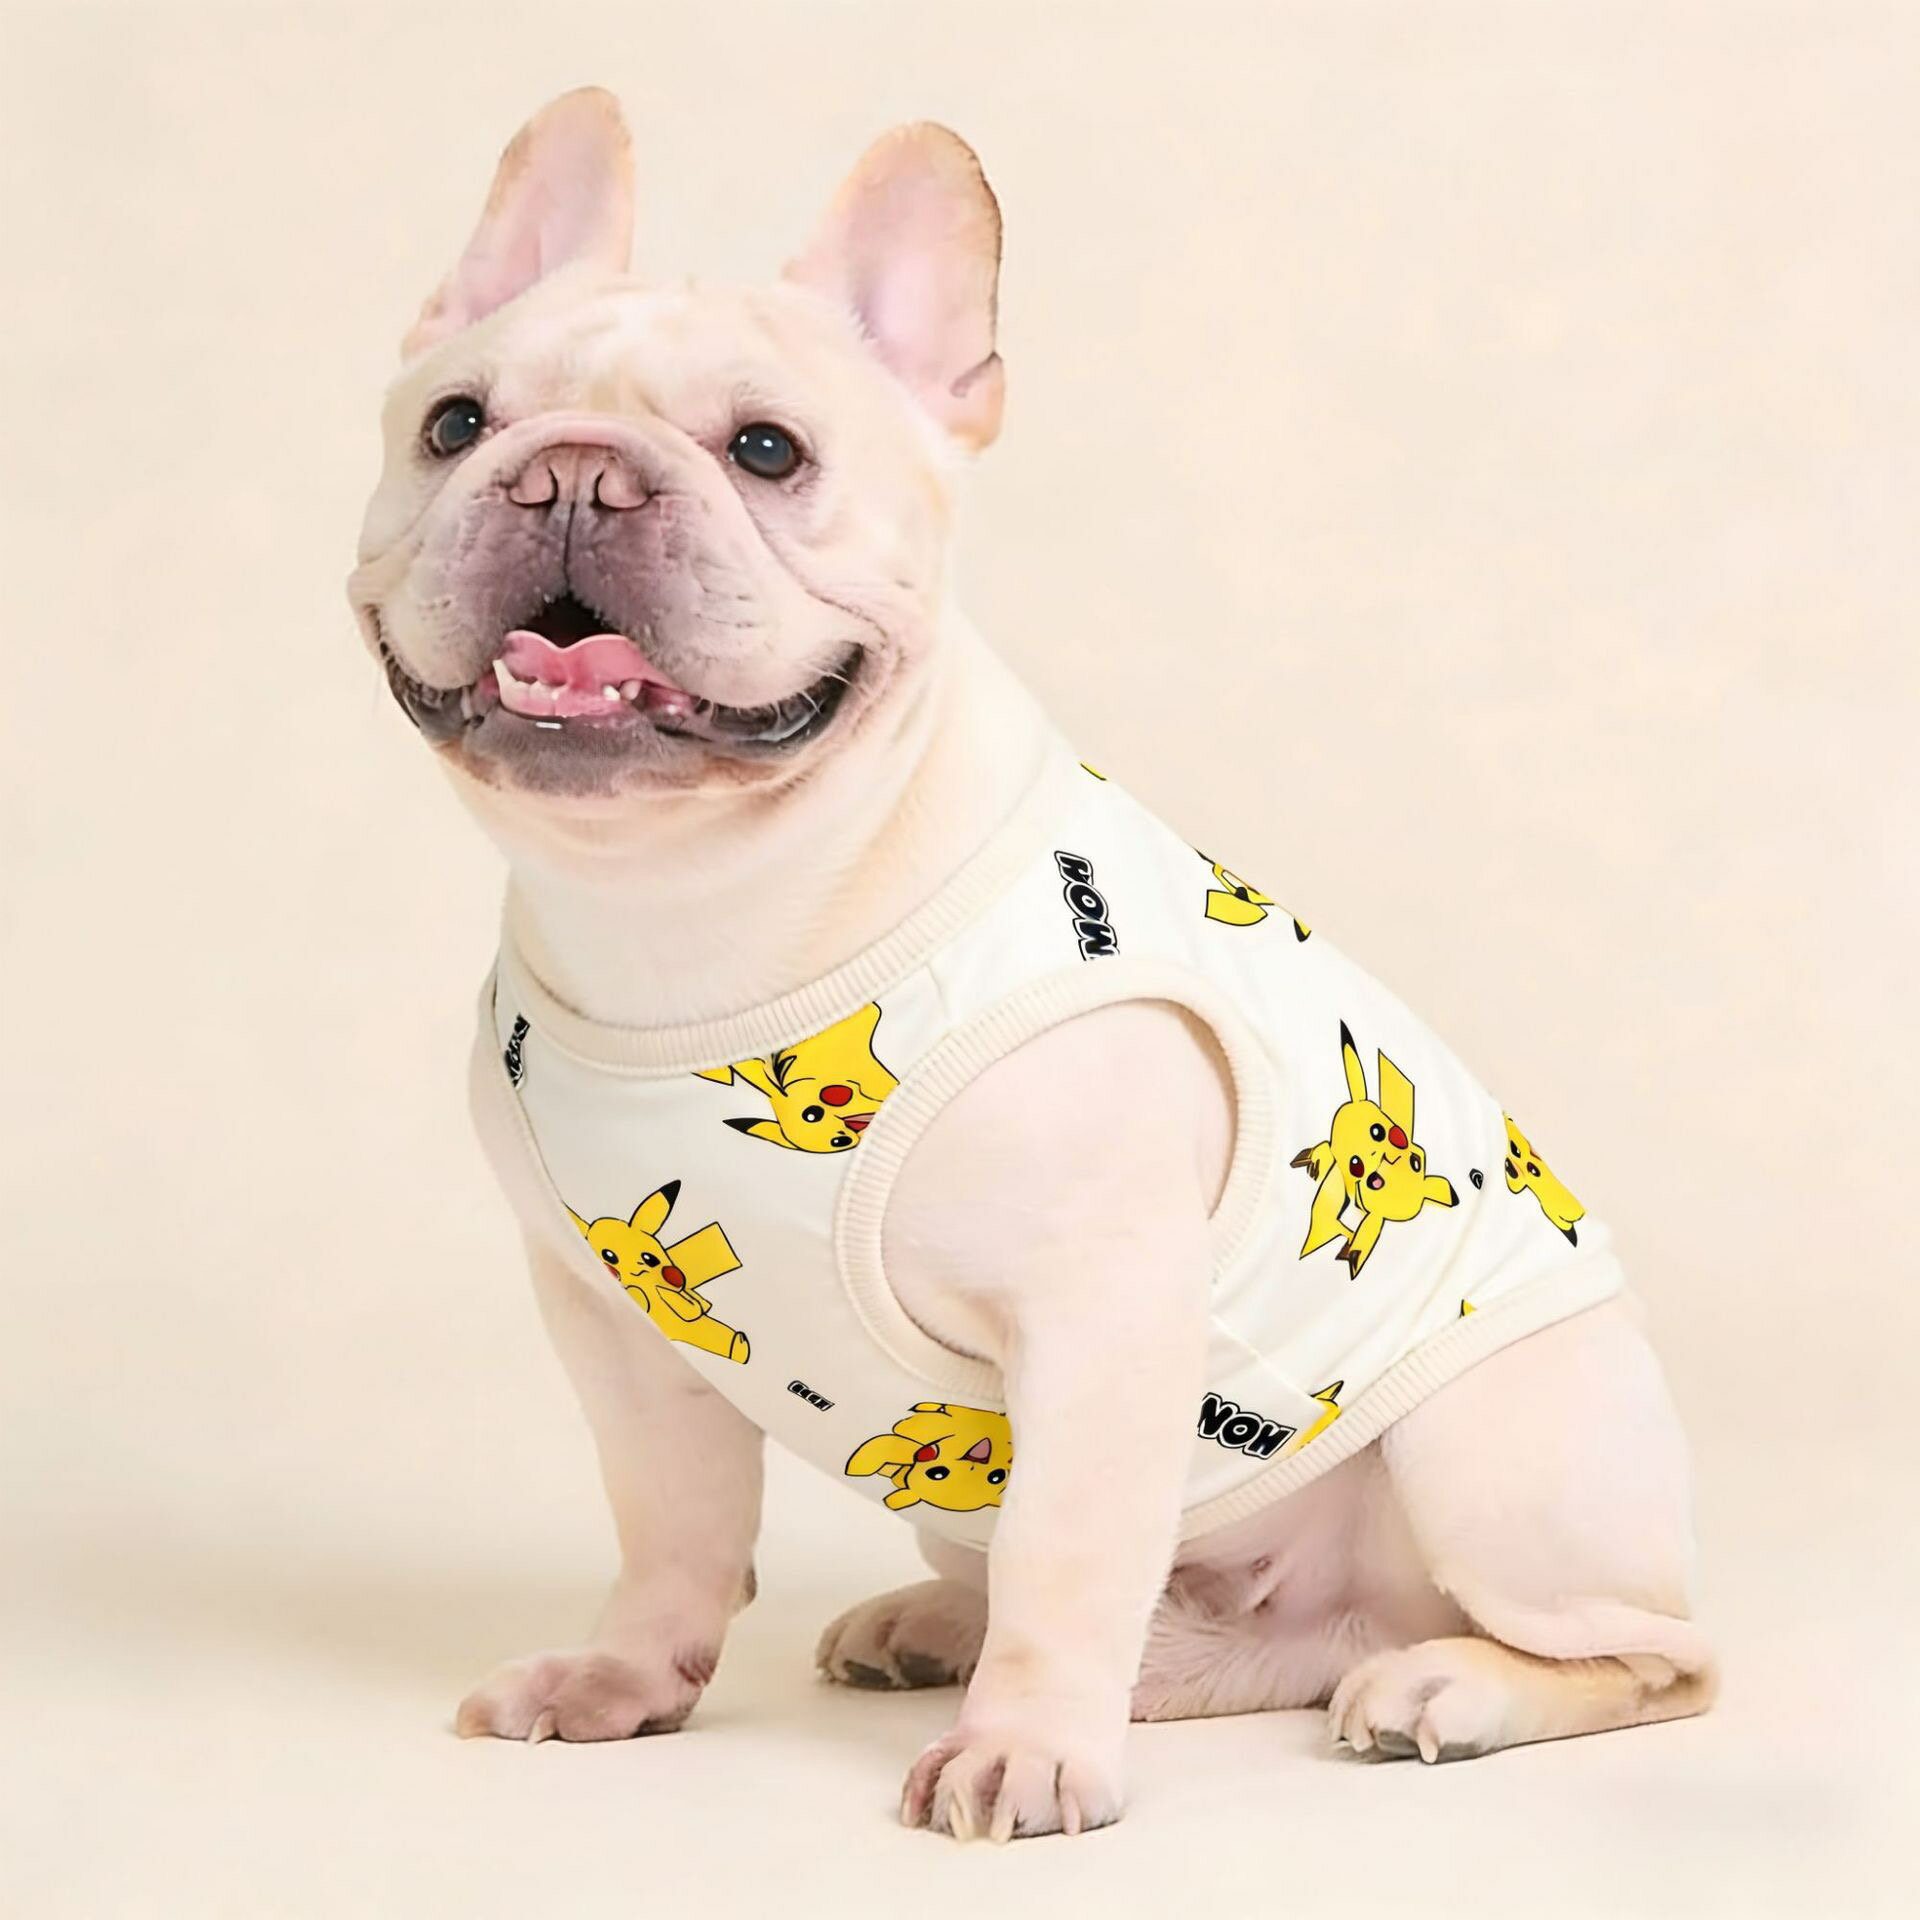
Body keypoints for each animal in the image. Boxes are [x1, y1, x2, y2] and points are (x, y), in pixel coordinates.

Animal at [348, 88, 1714, 1842]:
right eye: (453, 425)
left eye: (769, 452)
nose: (572, 474)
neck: (702, 912)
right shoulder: (617, 1334)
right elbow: (668, 1524)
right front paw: (626, 1674)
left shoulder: (1100, 1316)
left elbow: (1073, 1551)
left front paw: (1027, 1750)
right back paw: (957, 1628)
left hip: (1497, 1455)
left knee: (1650, 1657)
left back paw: (1452, 1689)